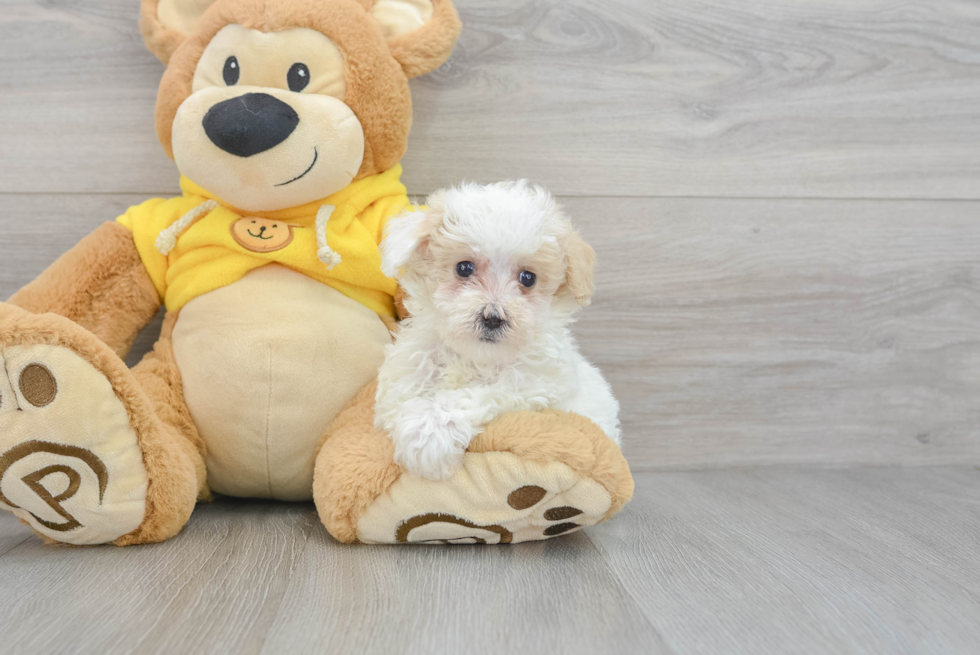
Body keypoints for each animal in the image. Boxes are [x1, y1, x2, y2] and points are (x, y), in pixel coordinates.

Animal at [376, 182, 620, 480]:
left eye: (528, 278)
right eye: (464, 268)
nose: (493, 318)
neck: (476, 357)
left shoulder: (534, 381)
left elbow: (481, 393)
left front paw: (431, 430)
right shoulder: (409, 366)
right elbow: (399, 396)